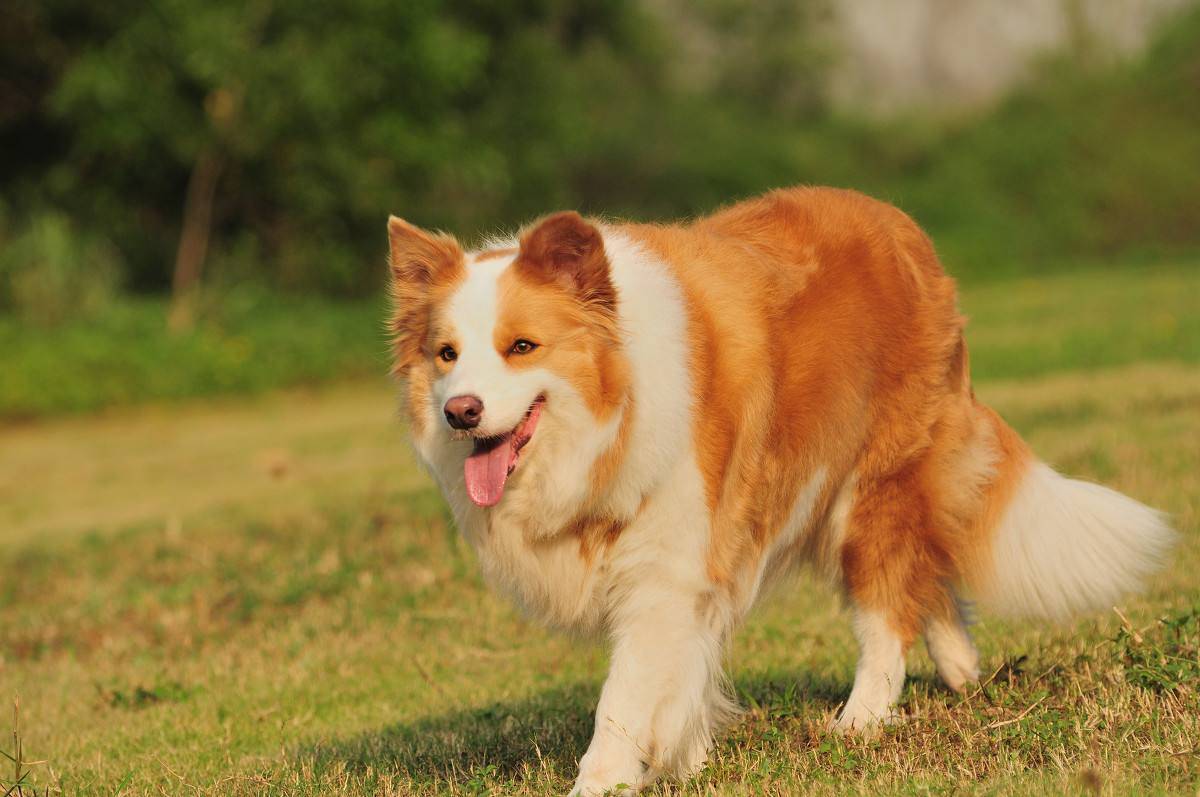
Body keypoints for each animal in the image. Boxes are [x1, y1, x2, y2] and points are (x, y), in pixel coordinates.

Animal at [388, 188, 1176, 797]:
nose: (460, 412)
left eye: (521, 346)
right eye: (446, 354)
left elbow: (628, 690)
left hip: (869, 485)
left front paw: (607, 776)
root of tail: (908, 233)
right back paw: (960, 668)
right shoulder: (699, 554)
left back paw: (860, 720)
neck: (611, 412)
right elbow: (683, 666)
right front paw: (685, 756)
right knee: (923, 575)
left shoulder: (668, 562)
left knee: (887, 603)